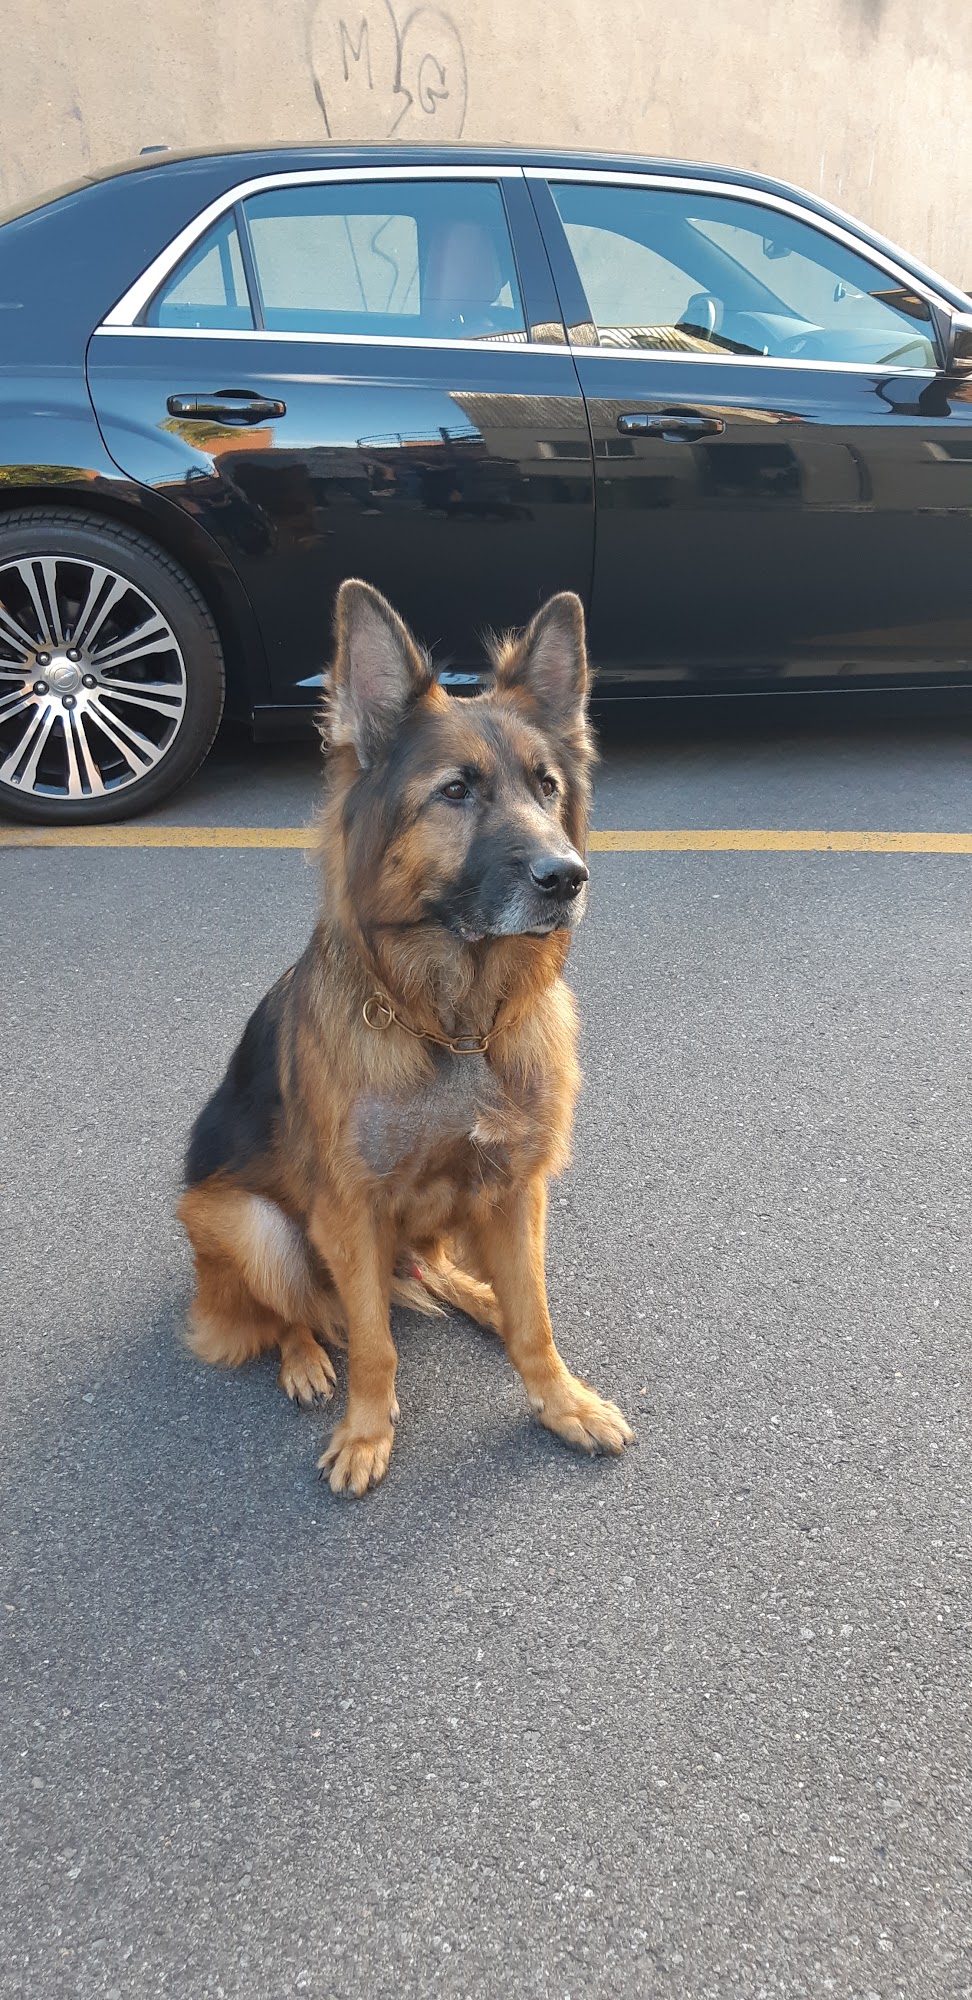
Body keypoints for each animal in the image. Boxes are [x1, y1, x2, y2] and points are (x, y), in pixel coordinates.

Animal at [177, 580, 633, 1495]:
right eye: (456, 791)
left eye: (547, 786)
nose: (568, 878)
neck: (455, 1030)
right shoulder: (349, 1212)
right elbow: (375, 1346)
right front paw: (366, 1430)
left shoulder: (518, 1186)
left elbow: (536, 1321)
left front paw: (560, 1400)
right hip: (243, 1221)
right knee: (290, 1312)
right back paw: (304, 1358)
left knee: (432, 1269)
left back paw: (481, 1297)